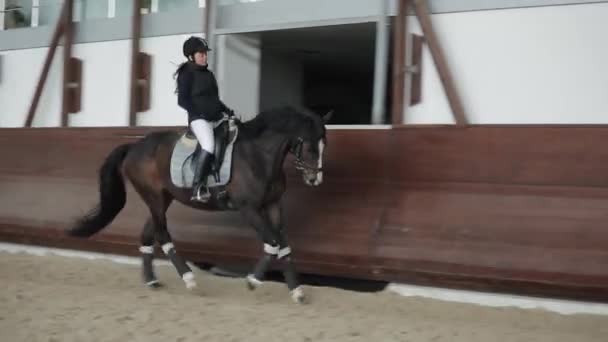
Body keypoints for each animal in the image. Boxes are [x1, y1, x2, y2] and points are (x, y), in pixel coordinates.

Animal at [66, 105, 332, 304]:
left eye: (323, 145)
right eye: (309, 145)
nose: (314, 179)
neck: (259, 155)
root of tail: (135, 146)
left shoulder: (274, 205)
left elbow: (284, 246)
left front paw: (297, 291)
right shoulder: (248, 208)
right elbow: (273, 243)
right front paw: (253, 281)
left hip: (162, 198)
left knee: (148, 233)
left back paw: (151, 280)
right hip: (154, 197)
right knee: (162, 234)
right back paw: (189, 280)